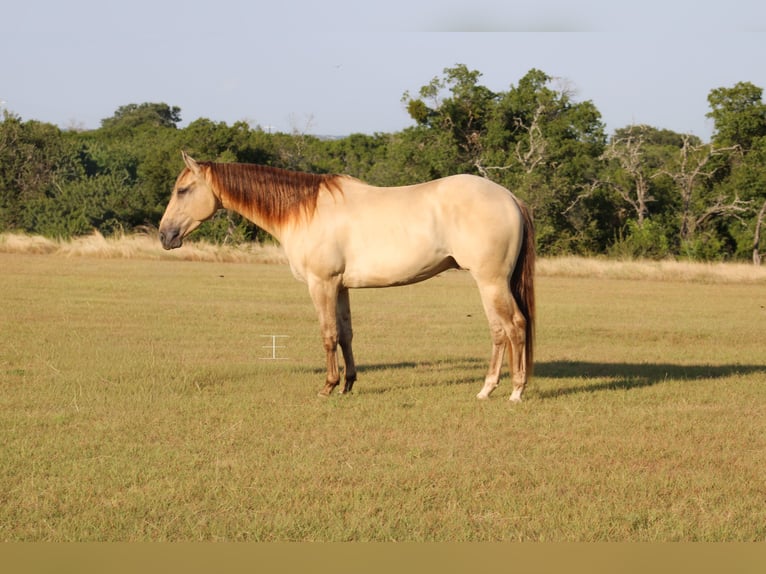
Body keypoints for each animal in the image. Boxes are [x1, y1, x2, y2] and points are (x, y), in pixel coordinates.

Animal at [159, 152, 535, 401]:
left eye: (182, 191)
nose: (165, 235)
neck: (305, 210)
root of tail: (510, 197)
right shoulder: (340, 287)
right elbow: (346, 334)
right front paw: (348, 384)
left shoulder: (321, 284)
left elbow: (327, 335)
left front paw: (327, 386)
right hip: (488, 284)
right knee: (499, 331)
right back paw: (487, 389)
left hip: (491, 282)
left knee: (514, 326)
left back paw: (515, 391)